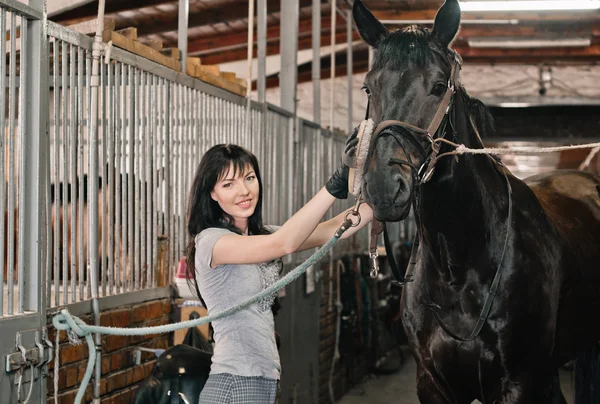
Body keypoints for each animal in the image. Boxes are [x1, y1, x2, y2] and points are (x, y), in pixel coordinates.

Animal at [354, 1, 600, 402]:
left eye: (439, 86)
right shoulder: (433, 384)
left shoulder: (519, 383)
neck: (460, 268)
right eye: (368, 87)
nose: (384, 187)